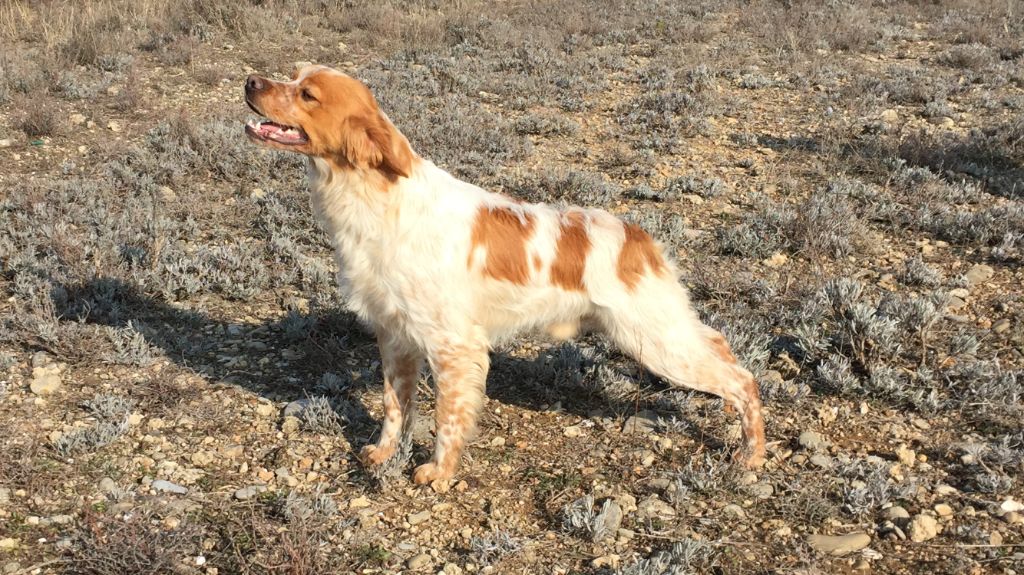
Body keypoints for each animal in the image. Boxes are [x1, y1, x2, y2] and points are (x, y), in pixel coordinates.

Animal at [243, 63, 765, 482]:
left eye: (308, 94)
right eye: (294, 74)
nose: (250, 81)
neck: (377, 199)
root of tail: (641, 237)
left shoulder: (453, 344)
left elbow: (448, 417)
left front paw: (438, 473)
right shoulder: (394, 336)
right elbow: (395, 407)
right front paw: (384, 453)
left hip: (656, 341)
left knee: (743, 379)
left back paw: (752, 456)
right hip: (663, 333)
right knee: (721, 344)